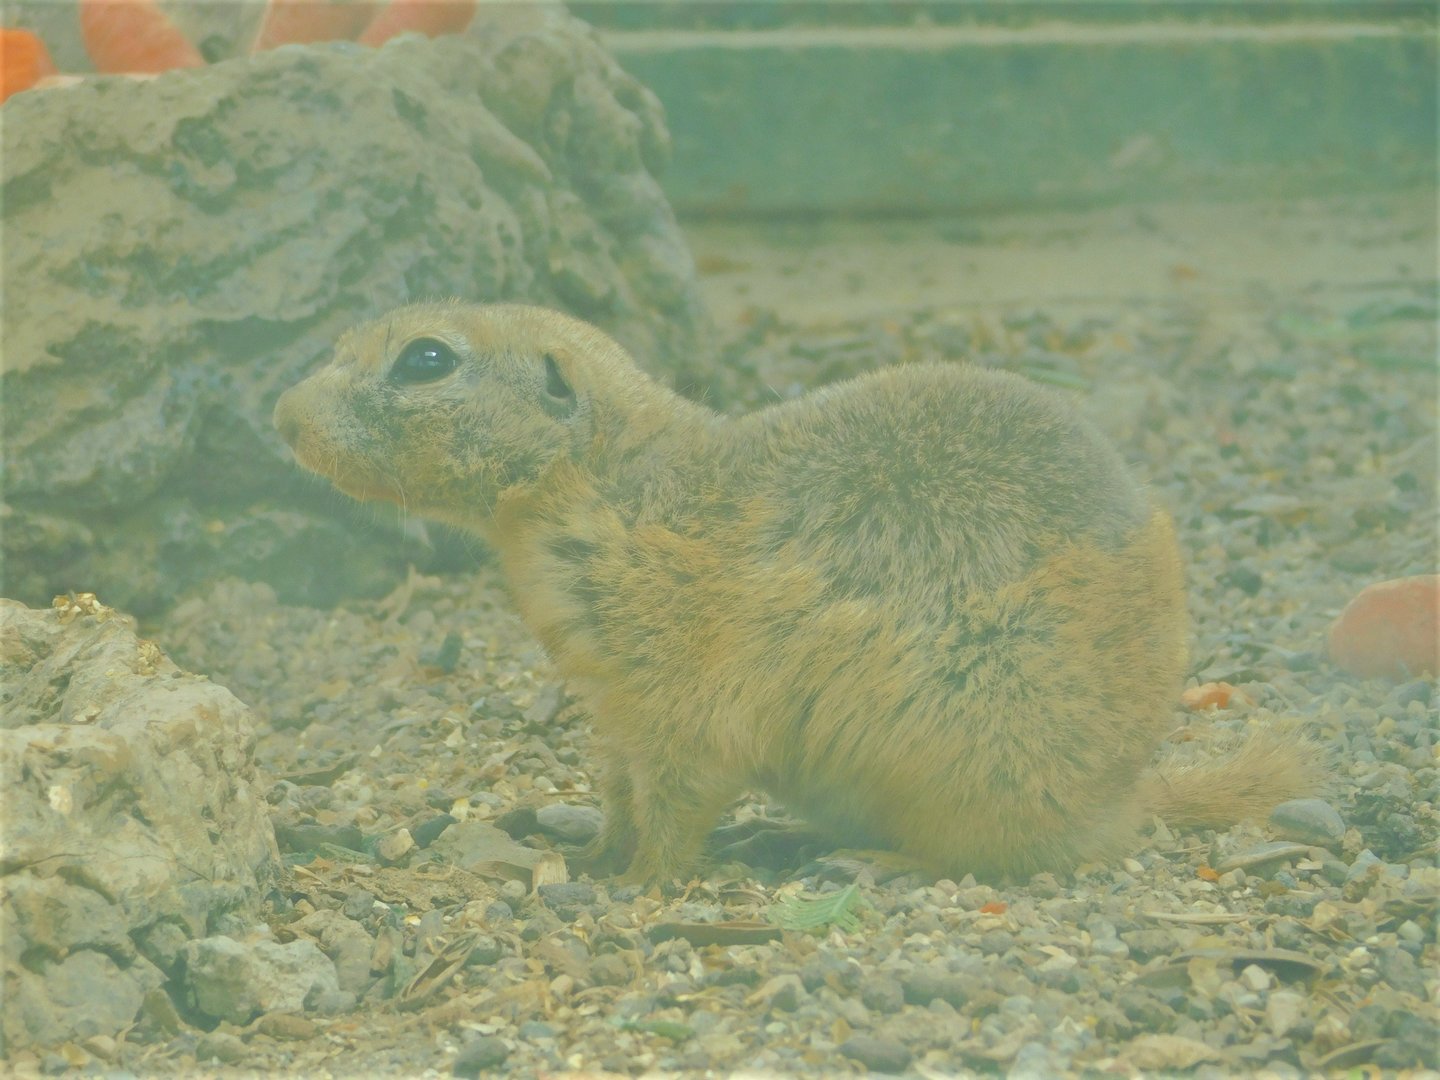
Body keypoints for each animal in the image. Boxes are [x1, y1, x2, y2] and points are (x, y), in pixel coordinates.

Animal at [273, 300, 1322, 884]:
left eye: (426, 359)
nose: (280, 416)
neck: (611, 484)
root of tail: (1127, 795)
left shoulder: (683, 685)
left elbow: (680, 791)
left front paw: (640, 883)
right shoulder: (616, 701)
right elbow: (619, 786)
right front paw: (595, 854)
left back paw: (874, 859)